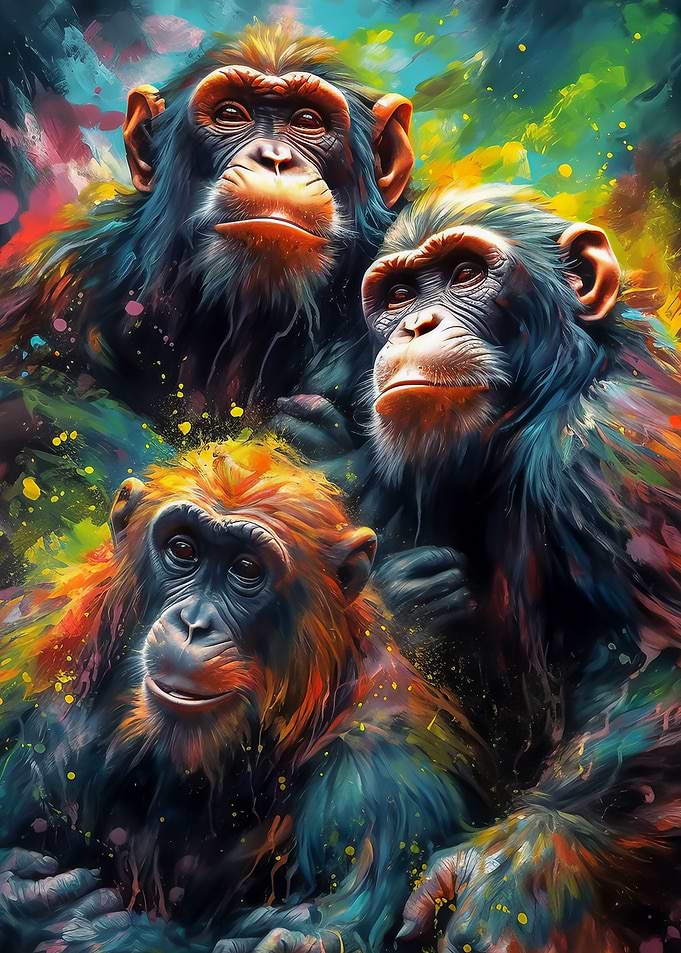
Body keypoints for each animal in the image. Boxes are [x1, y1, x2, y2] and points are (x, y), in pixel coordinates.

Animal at [0, 436, 487, 953]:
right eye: (183, 549)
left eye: (247, 569)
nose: (195, 624)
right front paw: (31, 901)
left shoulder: (385, 770)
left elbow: (312, 929)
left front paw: (80, 926)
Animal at [338, 184, 681, 952]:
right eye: (398, 293)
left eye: (466, 274)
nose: (415, 325)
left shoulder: (609, 444)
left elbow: (659, 663)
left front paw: (526, 864)